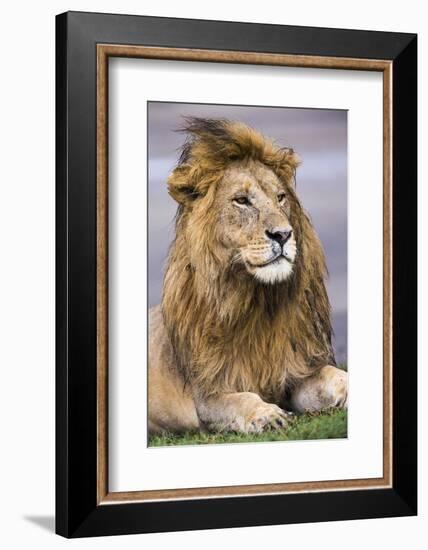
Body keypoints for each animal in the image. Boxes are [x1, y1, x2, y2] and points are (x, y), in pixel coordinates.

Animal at [148, 117, 348, 436]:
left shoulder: (295, 373)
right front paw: (268, 415)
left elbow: (333, 374)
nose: (283, 234)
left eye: (280, 198)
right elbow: (241, 399)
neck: (257, 302)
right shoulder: (208, 395)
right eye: (241, 200)